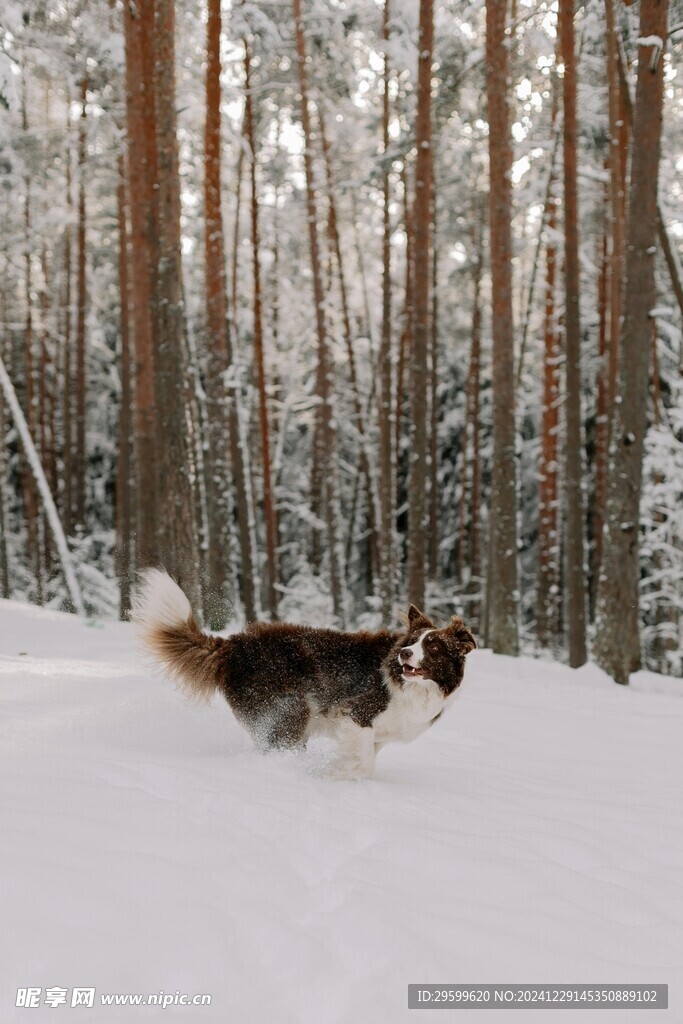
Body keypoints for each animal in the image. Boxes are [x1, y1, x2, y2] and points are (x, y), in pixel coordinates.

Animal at [132, 573, 475, 778]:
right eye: (411, 642)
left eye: (432, 646)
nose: (404, 654)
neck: (414, 688)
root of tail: (233, 645)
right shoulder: (355, 713)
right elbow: (363, 762)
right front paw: (335, 778)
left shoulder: (376, 733)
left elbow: (363, 761)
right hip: (289, 710)